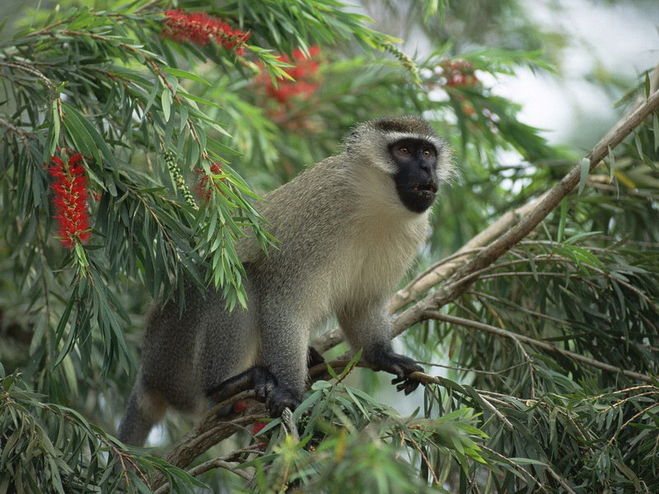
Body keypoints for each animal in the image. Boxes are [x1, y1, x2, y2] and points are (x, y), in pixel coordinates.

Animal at [117, 116, 454, 448]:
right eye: (404, 150)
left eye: (427, 153)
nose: (427, 169)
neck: (376, 204)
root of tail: (148, 375)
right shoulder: (320, 214)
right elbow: (286, 305)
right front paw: (290, 391)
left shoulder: (411, 234)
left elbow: (361, 305)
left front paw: (383, 355)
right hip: (175, 357)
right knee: (238, 282)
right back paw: (222, 389)